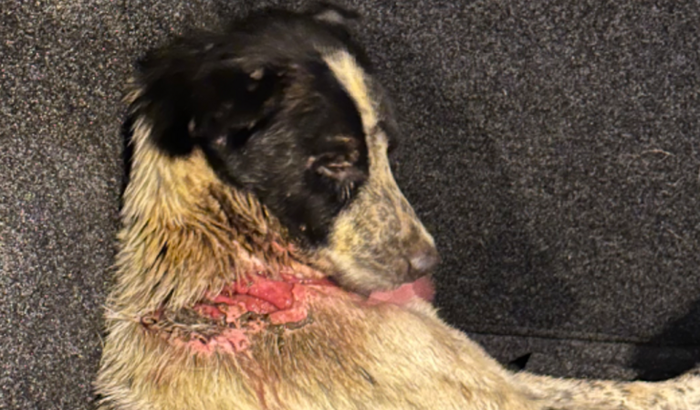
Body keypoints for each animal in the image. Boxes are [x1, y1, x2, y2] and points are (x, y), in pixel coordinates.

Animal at [95, 4, 700, 409]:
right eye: (336, 162)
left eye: (390, 148)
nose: (429, 263)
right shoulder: (491, 391)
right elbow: (627, 394)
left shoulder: (491, 376)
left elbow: (588, 385)